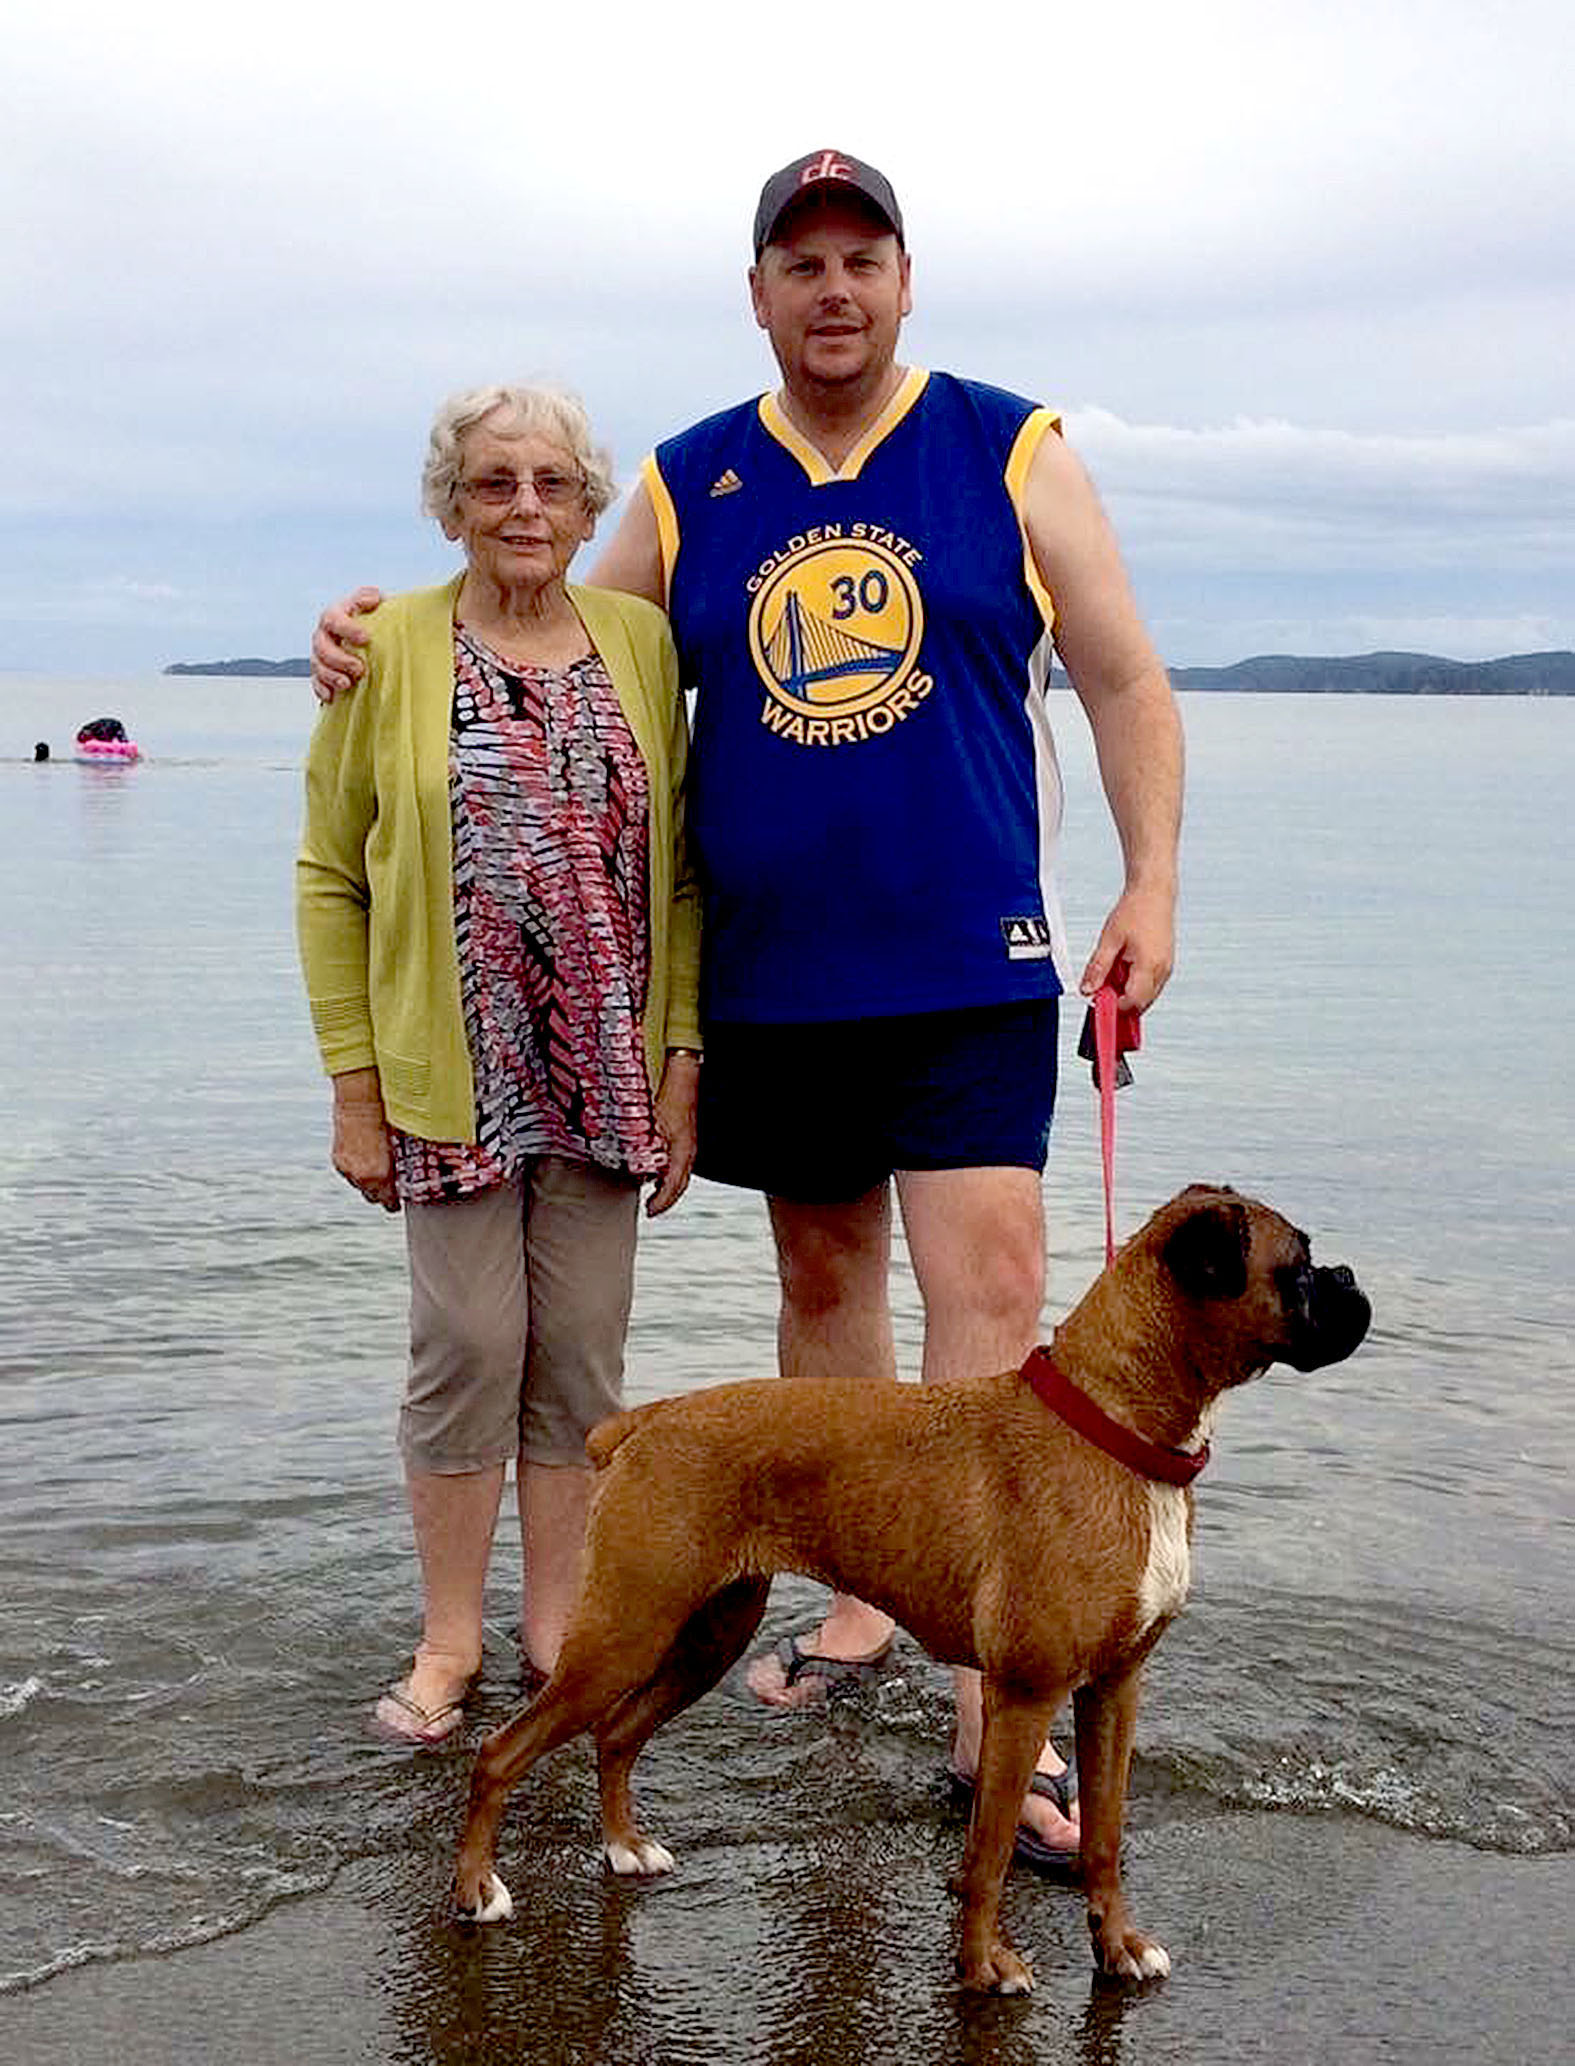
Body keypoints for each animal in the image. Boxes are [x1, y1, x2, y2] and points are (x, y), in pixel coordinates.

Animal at [450, 1190, 1364, 1991]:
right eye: (1298, 1267)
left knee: (615, 1735)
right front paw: (984, 1966)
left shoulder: (1112, 1690)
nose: (1351, 1278)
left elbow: (1102, 1837)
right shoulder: (1023, 1695)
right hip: (624, 1634)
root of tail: (648, 1419)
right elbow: (987, 1852)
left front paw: (1118, 1948)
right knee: (500, 1751)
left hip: (707, 1635)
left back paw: (624, 1848)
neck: (1113, 1428)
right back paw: (475, 1891)